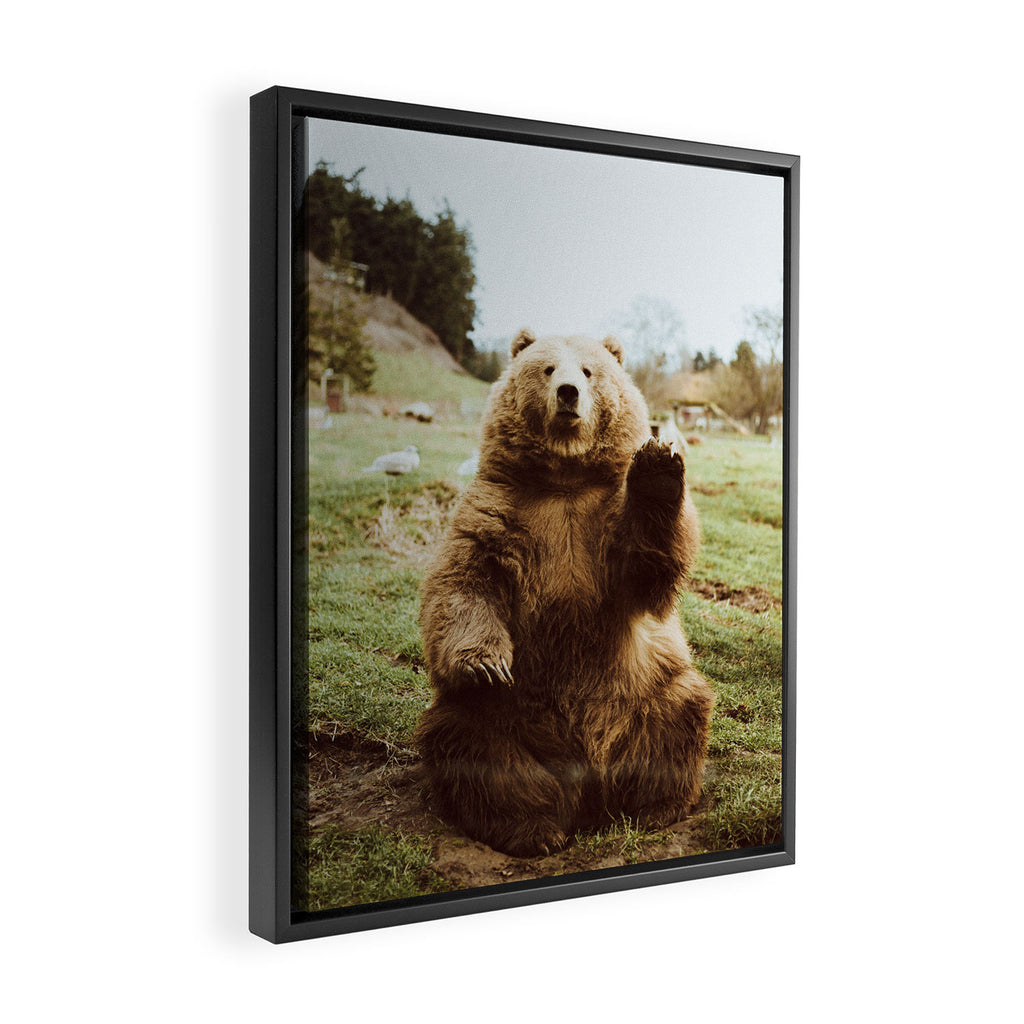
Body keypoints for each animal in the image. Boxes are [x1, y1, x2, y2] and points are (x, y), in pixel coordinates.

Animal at [416, 328, 714, 858]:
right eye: (549, 368)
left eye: (590, 371)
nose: (569, 393)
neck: (565, 479)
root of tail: (587, 782)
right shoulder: (498, 511)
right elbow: (464, 582)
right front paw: (485, 663)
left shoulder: (603, 524)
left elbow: (648, 566)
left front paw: (658, 465)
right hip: (504, 717)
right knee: (470, 743)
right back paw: (532, 829)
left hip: (645, 689)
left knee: (680, 711)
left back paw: (655, 807)